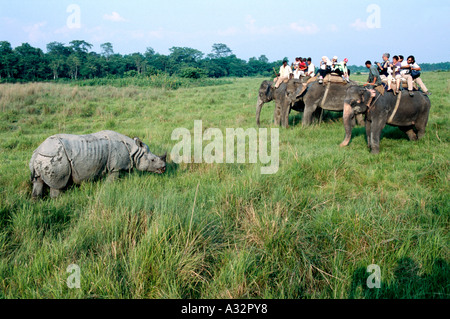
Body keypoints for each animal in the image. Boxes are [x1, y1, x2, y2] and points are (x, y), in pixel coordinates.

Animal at [30, 130, 167, 198]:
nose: (164, 168)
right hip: (55, 159)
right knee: (57, 185)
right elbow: (111, 182)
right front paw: (109, 191)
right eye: (153, 160)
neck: (134, 151)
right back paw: (58, 202)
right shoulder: (115, 168)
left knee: (37, 182)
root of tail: (37, 151)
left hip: (42, 158)